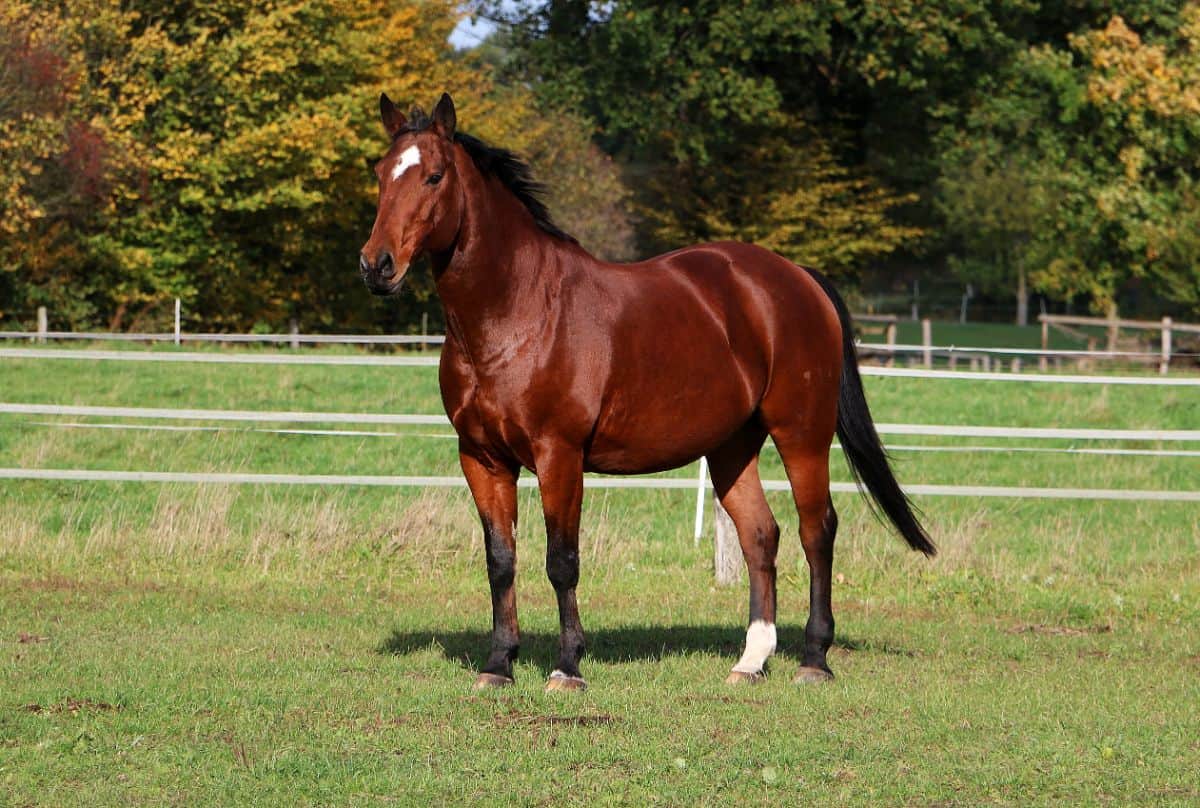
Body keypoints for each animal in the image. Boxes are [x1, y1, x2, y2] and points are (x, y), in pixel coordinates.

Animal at [360, 93, 931, 686]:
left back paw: (814, 658)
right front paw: (499, 664)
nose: (376, 266)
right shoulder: (481, 457)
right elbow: (501, 560)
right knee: (760, 535)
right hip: (732, 446)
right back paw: (751, 660)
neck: (518, 311)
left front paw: (568, 667)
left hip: (802, 434)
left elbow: (561, 561)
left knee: (817, 530)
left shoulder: (558, 455)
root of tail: (797, 276)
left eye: (434, 176)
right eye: (379, 173)